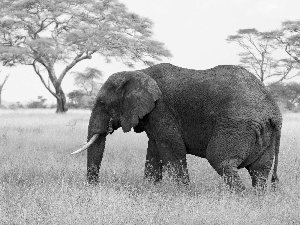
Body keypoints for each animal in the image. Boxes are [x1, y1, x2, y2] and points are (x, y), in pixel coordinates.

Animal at [72, 63, 282, 192]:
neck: (139, 71)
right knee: (260, 170)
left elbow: (172, 150)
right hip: (264, 132)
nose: (93, 186)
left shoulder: (162, 110)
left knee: (221, 161)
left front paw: (183, 193)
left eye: (102, 103)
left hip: (238, 124)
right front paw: (150, 190)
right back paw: (256, 199)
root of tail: (274, 111)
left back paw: (240, 198)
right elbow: (154, 150)